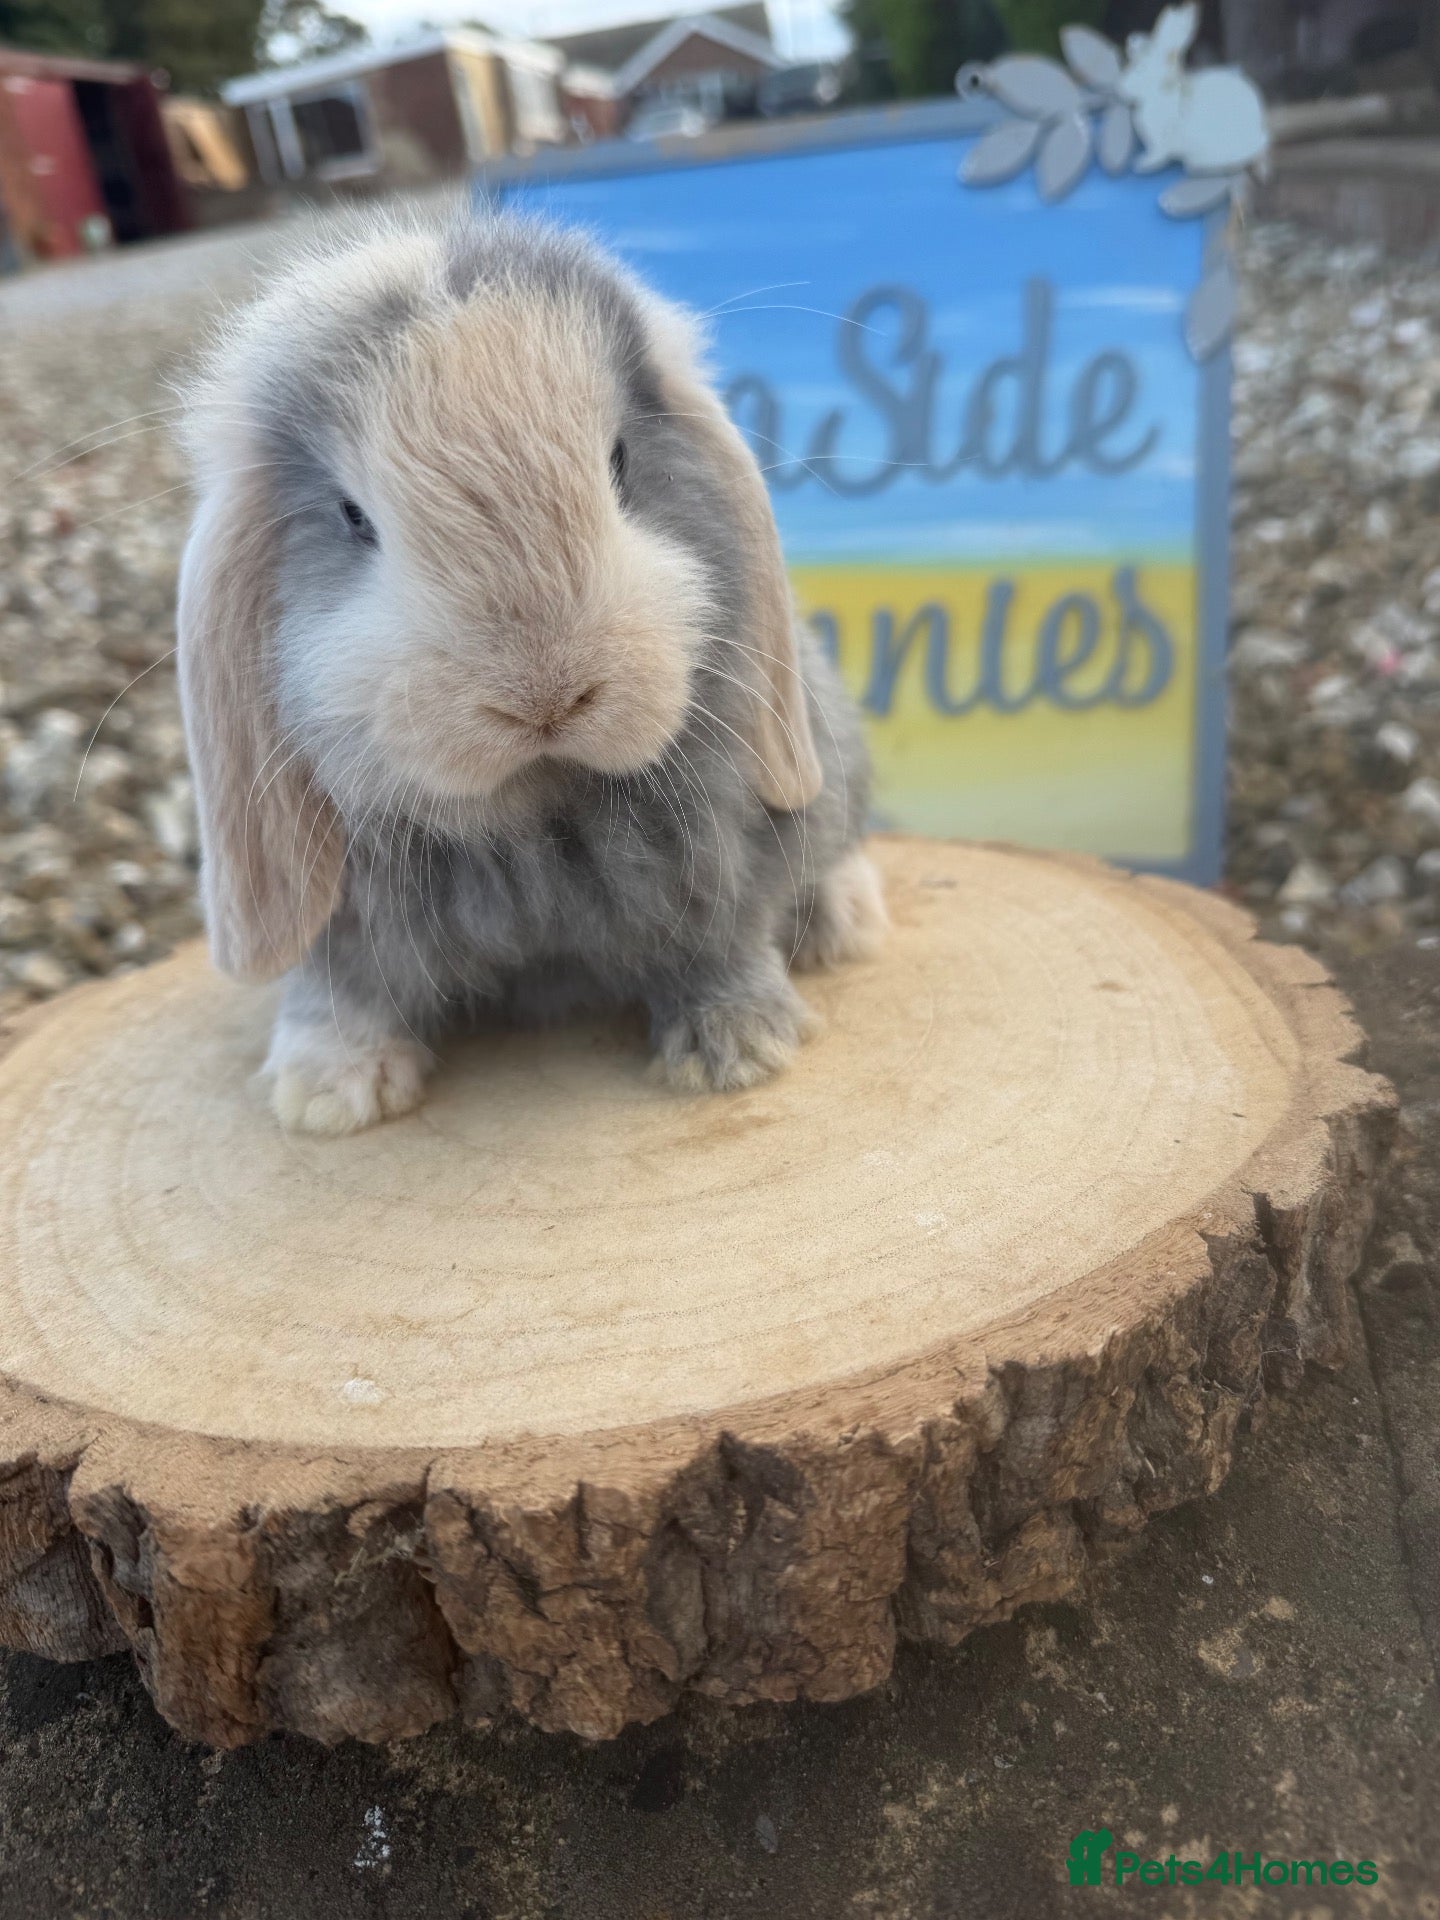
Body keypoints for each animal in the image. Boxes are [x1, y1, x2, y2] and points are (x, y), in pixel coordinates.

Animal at [175, 207, 885, 1135]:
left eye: (619, 464)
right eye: (353, 517)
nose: (545, 697)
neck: (533, 818)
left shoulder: (716, 851)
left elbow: (720, 939)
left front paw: (739, 1050)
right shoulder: (345, 912)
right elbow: (345, 990)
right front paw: (327, 1096)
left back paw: (845, 923)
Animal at [1119, 2, 1269, 177]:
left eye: (1139, 70)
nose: (1121, 86)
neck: (1164, 90)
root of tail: (1259, 128)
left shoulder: (1163, 142)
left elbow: (1159, 154)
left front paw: (1143, 164)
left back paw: (1197, 165)